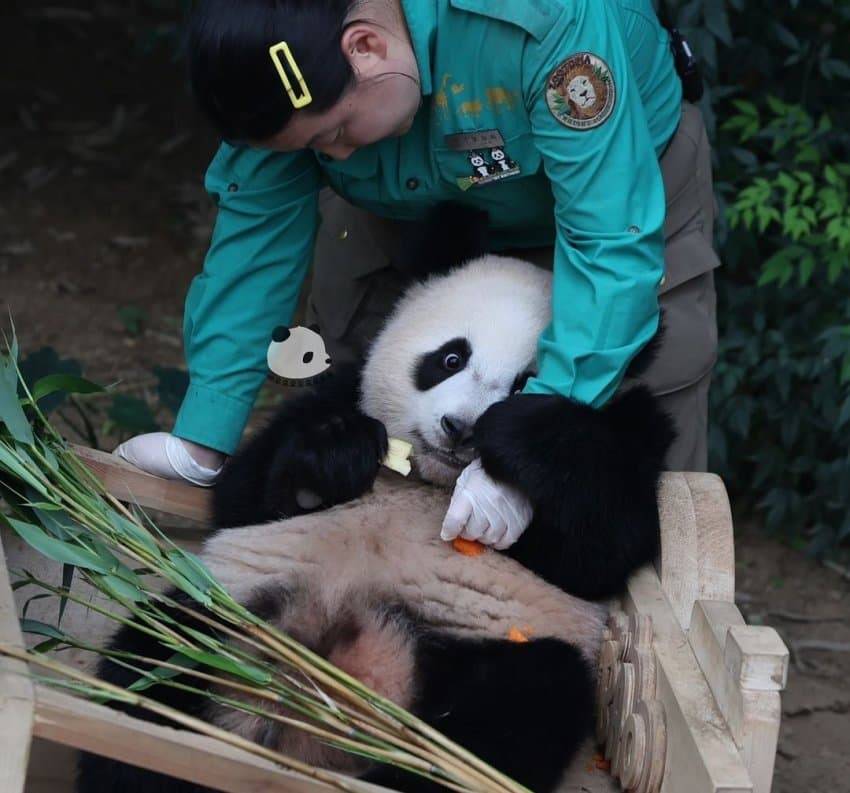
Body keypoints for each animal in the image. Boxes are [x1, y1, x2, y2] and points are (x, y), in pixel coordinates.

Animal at [81, 206, 676, 792]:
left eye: (525, 382)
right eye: (450, 358)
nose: (460, 429)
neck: (432, 482)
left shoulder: (630, 441)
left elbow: (604, 548)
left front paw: (521, 440)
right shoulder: (339, 391)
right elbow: (245, 494)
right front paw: (335, 454)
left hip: (493, 647)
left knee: (517, 709)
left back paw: (422, 765)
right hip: (221, 605)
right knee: (147, 675)